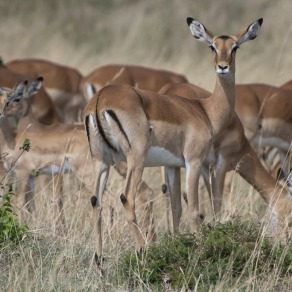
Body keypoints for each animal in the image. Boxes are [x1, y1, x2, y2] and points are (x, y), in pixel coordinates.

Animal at [83, 17, 264, 264]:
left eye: (234, 47)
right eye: (212, 47)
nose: (222, 67)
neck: (205, 110)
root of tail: (100, 99)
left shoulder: (171, 165)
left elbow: (177, 207)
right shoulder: (194, 161)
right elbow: (195, 209)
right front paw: (198, 250)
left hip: (101, 161)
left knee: (96, 201)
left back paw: (99, 261)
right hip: (135, 158)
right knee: (126, 197)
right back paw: (142, 251)